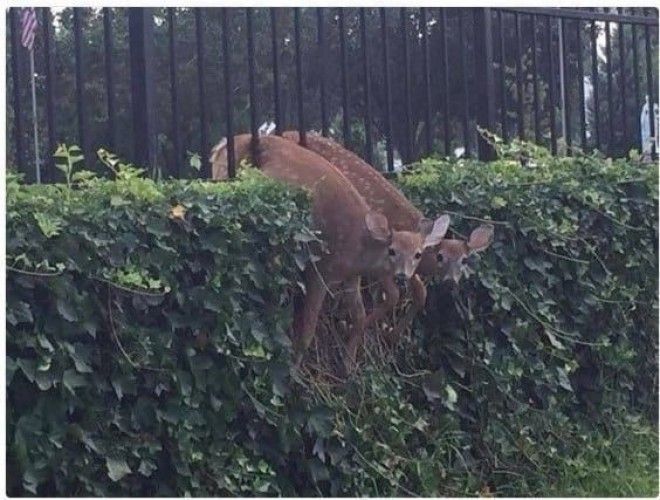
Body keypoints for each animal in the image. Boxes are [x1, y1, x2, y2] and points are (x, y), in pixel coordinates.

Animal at [211, 135, 448, 370]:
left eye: (417, 254)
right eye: (392, 251)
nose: (401, 275)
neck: (358, 250)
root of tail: (221, 146)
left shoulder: (351, 276)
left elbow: (360, 315)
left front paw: (348, 365)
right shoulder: (321, 271)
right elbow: (307, 332)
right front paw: (294, 371)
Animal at [282, 132, 492, 336]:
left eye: (465, 260)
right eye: (440, 256)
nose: (450, 281)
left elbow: (420, 291)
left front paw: (394, 334)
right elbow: (394, 294)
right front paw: (369, 328)